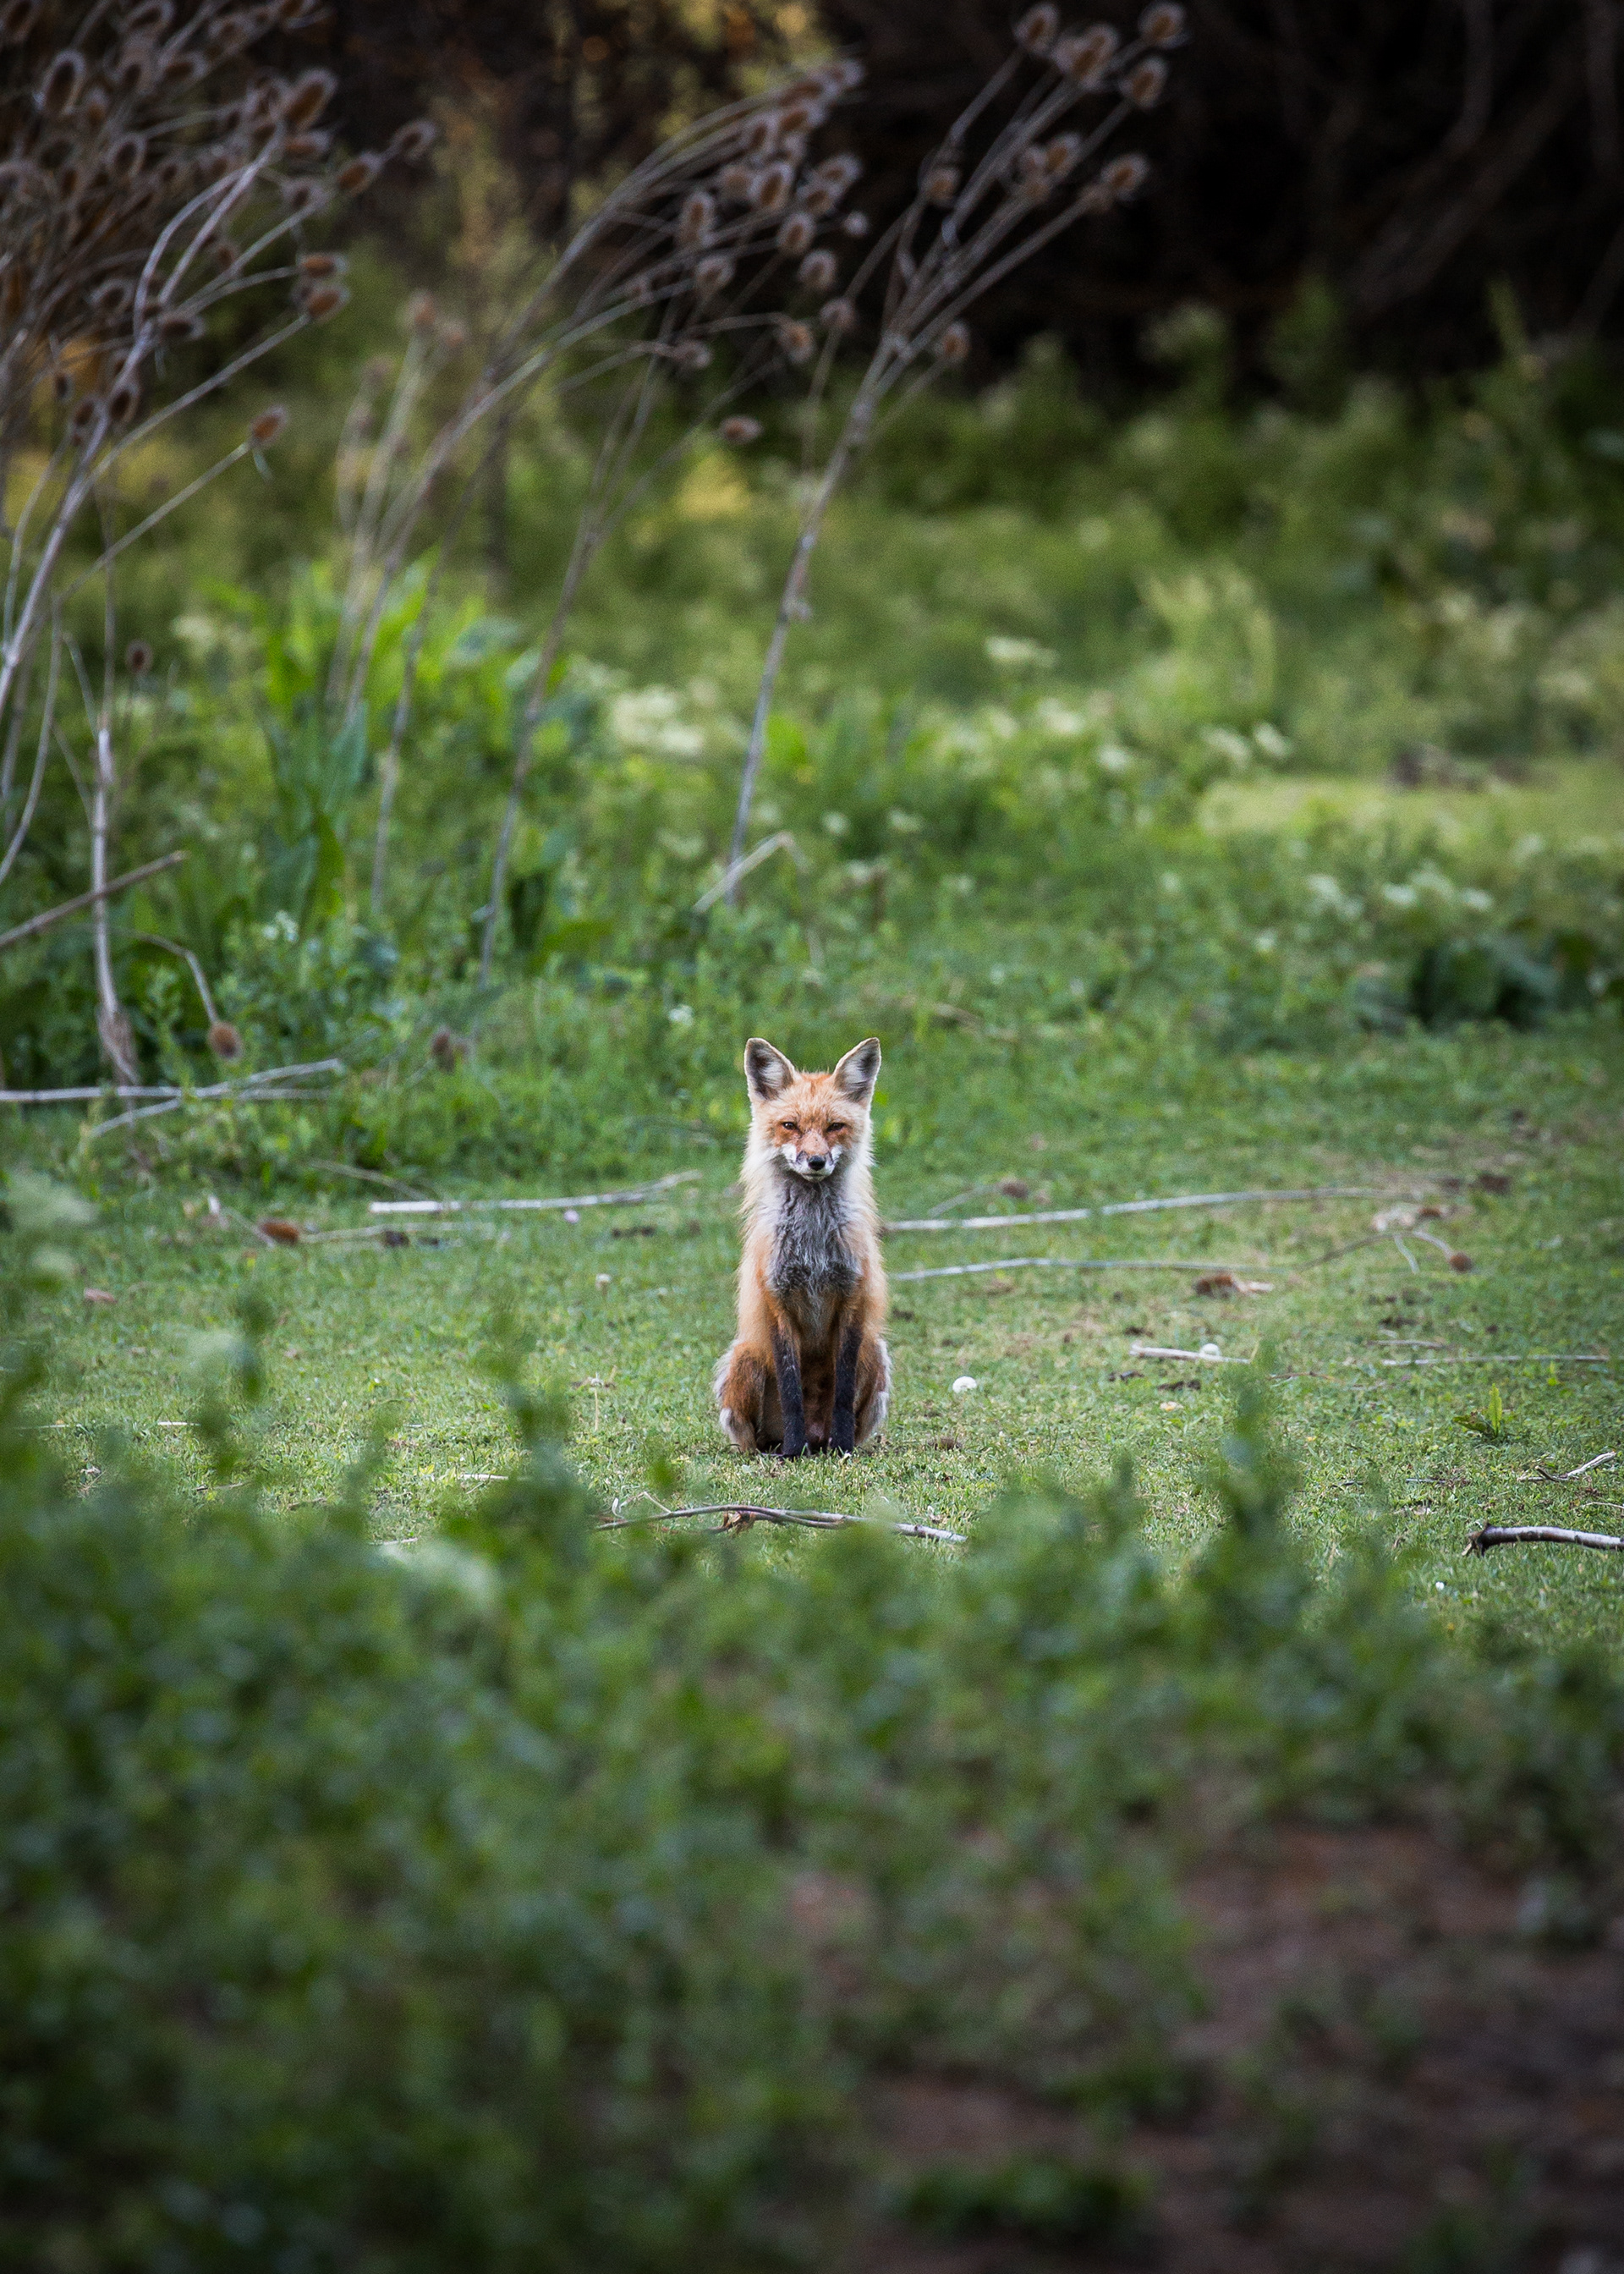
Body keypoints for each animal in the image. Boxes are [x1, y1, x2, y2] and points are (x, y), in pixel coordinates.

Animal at [713, 1035, 891, 1458]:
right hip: (746, 1357)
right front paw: (792, 1453)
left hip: (875, 1352)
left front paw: (843, 1447)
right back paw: (779, 1448)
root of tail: (816, 1433)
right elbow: (792, 1388)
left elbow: (843, 1390)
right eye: (790, 1126)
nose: (815, 1161)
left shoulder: (853, 1299)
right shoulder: (777, 1302)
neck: (813, 1247)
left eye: (835, 1127)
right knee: (753, 1437)